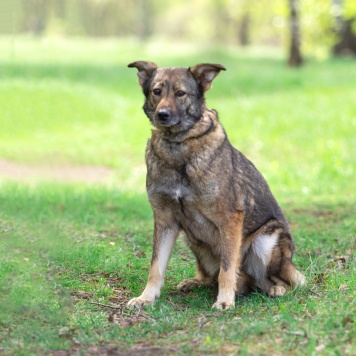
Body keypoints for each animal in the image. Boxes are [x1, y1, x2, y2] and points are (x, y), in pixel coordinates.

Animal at [126, 60, 306, 308]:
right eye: (157, 91)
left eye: (181, 93)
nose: (163, 115)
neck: (178, 144)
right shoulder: (165, 220)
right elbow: (156, 266)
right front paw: (146, 297)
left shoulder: (230, 219)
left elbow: (227, 268)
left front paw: (225, 301)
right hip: (192, 239)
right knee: (215, 276)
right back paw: (196, 282)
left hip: (266, 241)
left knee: (279, 282)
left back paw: (276, 289)